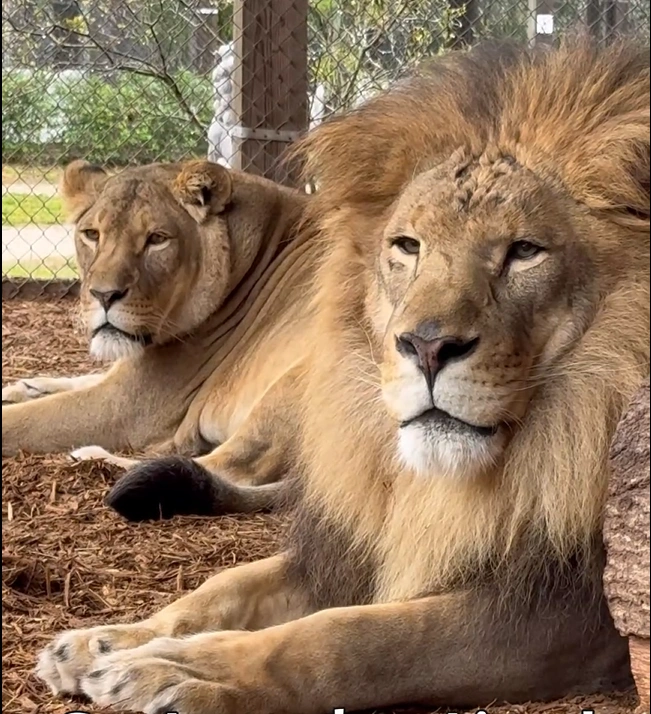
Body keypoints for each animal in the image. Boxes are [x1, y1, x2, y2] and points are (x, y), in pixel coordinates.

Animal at [2, 158, 320, 518]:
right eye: (91, 235)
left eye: (157, 239)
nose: (104, 295)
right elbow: (80, 378)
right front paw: (21, 387)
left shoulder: (126, 406)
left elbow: (22, 420)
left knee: (224, 468)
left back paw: (90, 455)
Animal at [35, 38, 649, 713]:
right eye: (408, 245)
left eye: (524, 251)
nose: (426, 347)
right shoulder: (351, 548)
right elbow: (224, 586)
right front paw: (108, 643)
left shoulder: (568, 615)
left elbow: (351, 638)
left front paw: (182, 672)